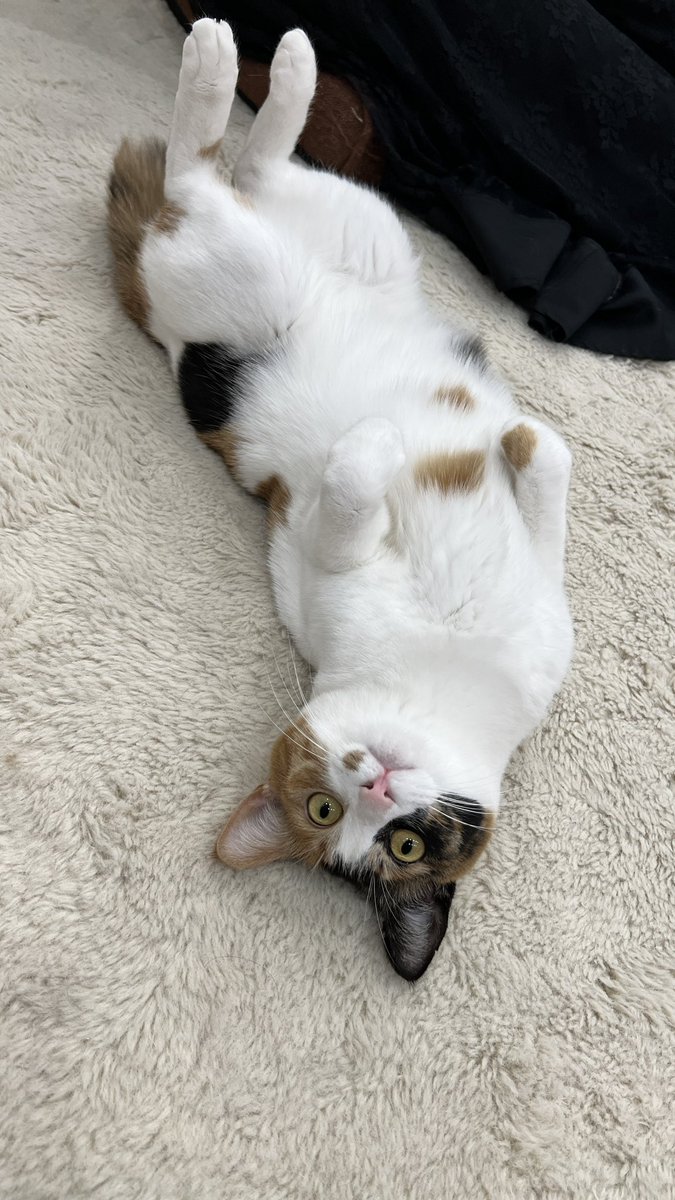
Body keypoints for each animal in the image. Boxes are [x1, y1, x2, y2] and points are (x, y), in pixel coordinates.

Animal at [107, 18, 573, 980]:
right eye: (325, 813)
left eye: (404, 846)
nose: (378, 784)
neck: (436, 679)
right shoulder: (318, 551)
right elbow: (371, 487)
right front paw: (408, 443)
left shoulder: (546, 621)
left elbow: (530, 495)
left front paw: (491, 444)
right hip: (292, 253)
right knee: (207, 172)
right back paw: (238, 59)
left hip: (322, 242)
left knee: (234, 174)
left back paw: (267, 64)